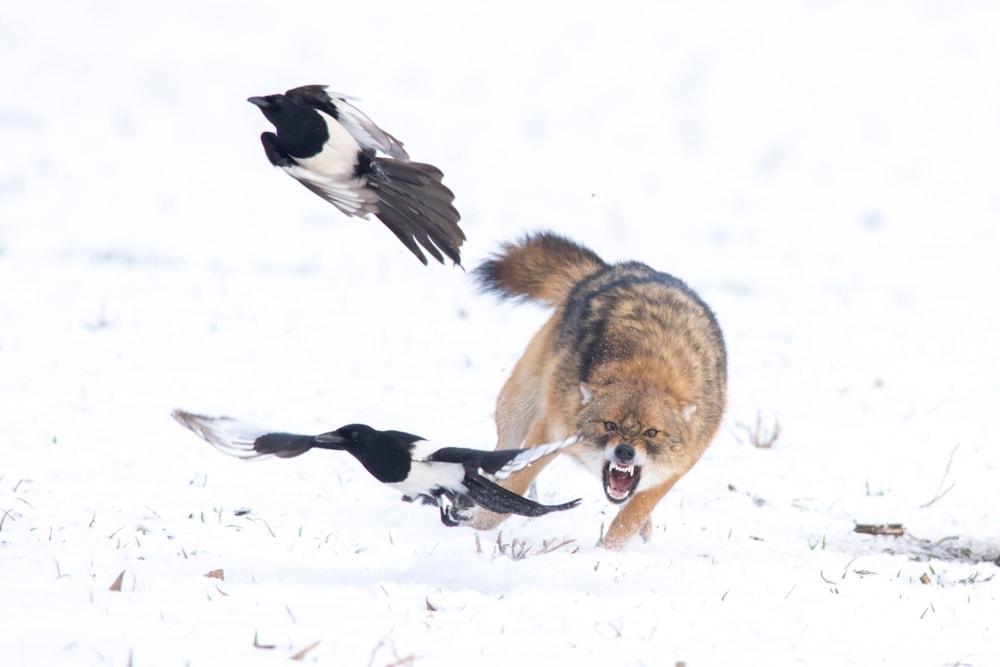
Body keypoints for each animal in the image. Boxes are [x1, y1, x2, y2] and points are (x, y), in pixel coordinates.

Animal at [469, 232, 727, 549]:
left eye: (651, 432)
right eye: (610, 425)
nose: (625, 451)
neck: (647, 370)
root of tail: (607, 270)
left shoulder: (676, 469)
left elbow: (627, 521)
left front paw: (607, 554)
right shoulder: (549, 433)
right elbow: (513, 488)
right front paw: (474, 529)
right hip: (517, 409)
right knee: (497, 458)